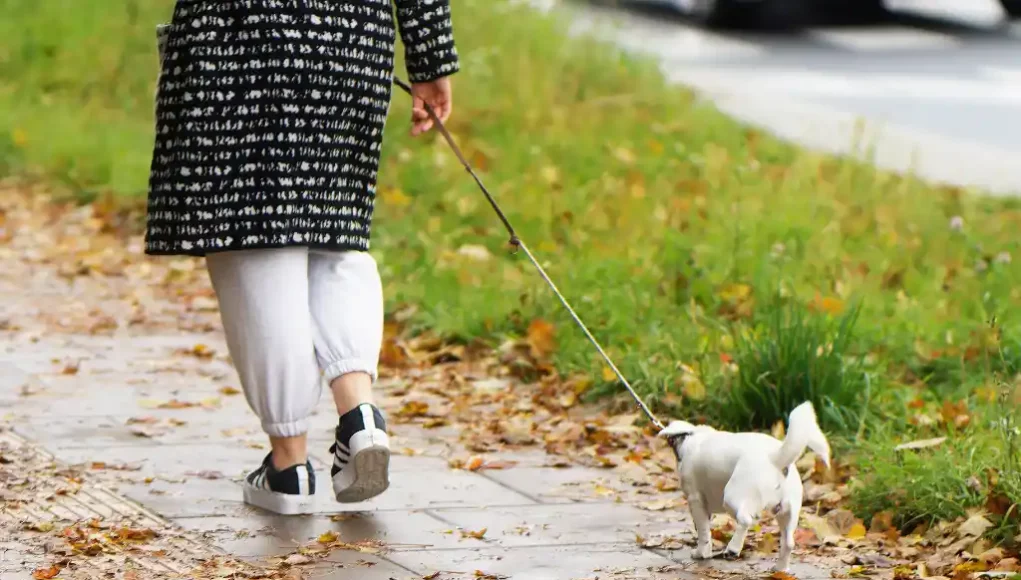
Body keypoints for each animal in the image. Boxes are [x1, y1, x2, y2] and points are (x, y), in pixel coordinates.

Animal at [661, 400, 829, 567]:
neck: (693, 438)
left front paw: (701, 553)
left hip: (732, 497)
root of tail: (775, 459)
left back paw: (733, 548)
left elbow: (703, 532)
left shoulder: (695, 500)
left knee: (745, 520)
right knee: (788, 543)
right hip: (787, 511)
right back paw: (779, 569)